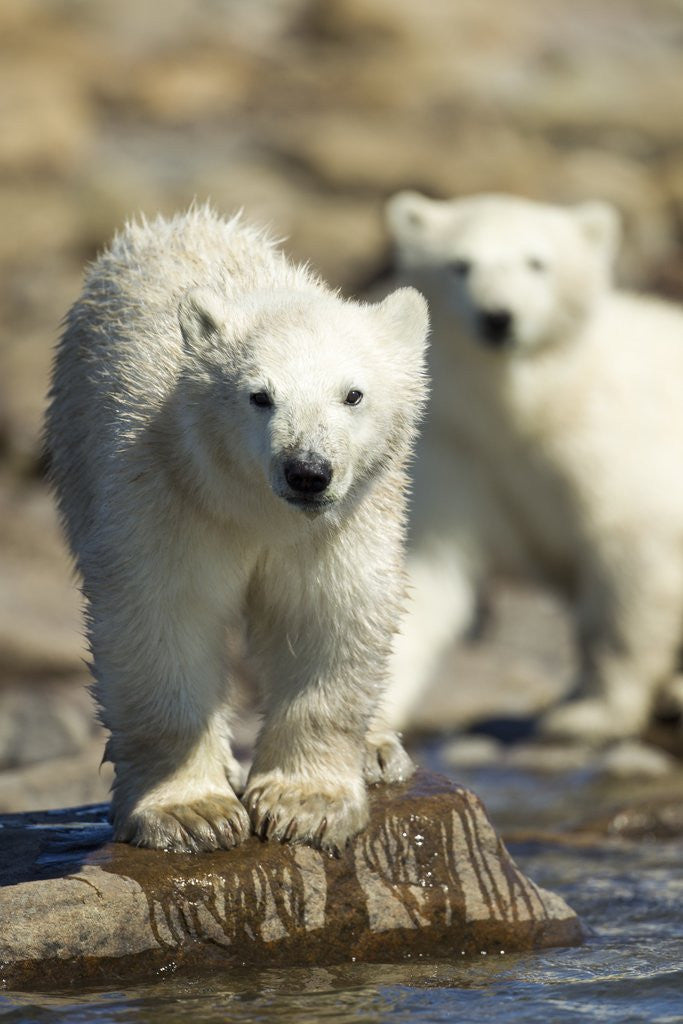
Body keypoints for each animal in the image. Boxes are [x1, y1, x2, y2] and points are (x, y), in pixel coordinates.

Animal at [45, 205, 429, 853]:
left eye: (353, 394)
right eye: (260, 396)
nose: (308, 471)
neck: (257, 509)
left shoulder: (342, 526)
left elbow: (329, 615)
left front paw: (306, 804)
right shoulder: (165, 492)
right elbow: (162, 620)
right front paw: (191, 812)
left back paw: (378, 749)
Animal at [379, 190, 683, 744]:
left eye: (537, 262)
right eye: (460, 264)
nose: (498, 317)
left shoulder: (609, 447)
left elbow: (631, 563)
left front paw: (593, 713)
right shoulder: (458, 452)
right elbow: (426, 567)